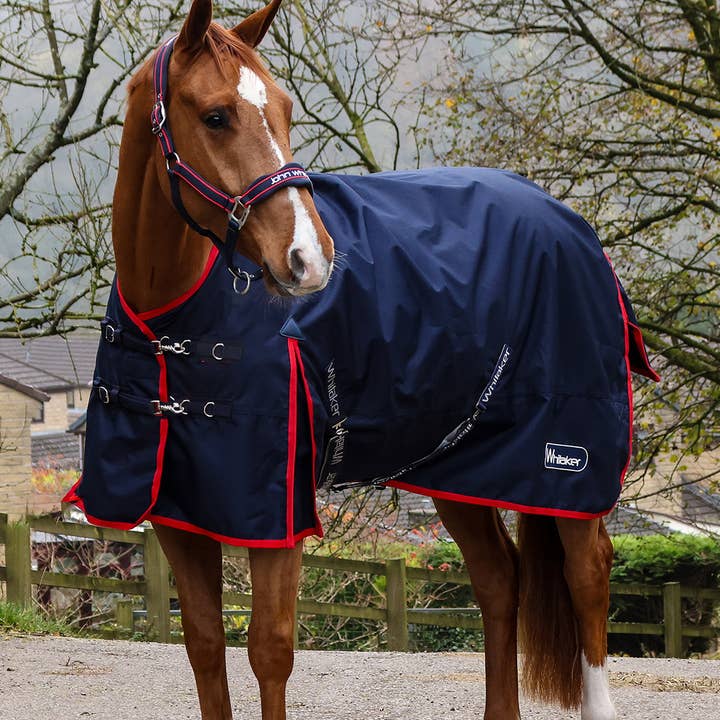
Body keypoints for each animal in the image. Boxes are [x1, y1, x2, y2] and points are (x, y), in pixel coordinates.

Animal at [64, 1, 660, 718]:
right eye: (215, 115)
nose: (310, 259)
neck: (174, 316)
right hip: (459, 469)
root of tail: (573, 226)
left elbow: (269, 652)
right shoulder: (181, 517)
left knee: (588, 574)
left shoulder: (277, 520)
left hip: (566, 467)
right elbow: (206, 646)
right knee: (499, 580)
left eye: (285, 109)